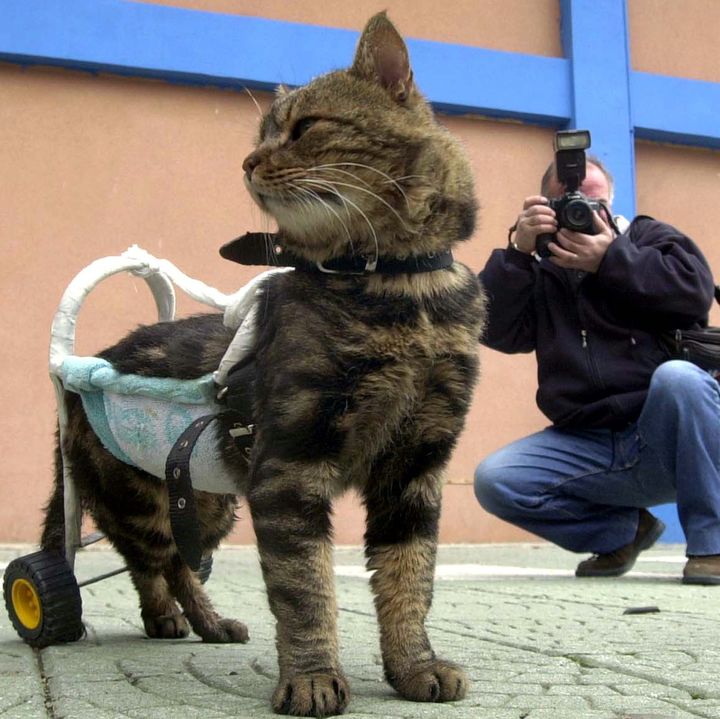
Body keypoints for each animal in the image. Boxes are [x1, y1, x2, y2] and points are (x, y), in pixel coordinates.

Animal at [42, 14, 486, 716]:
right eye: (260, 137)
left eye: (303, 129)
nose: (248, 161)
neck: (398, 292)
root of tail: (85, 363)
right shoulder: (290, 465)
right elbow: (305, 586)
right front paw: (311, 677)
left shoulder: (416, 467)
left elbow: (410, 578)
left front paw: (414, 666)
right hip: (140, 500)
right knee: (149, 560)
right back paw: (162, 616)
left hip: (207, 502)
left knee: (177, 563)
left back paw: (198, 622)